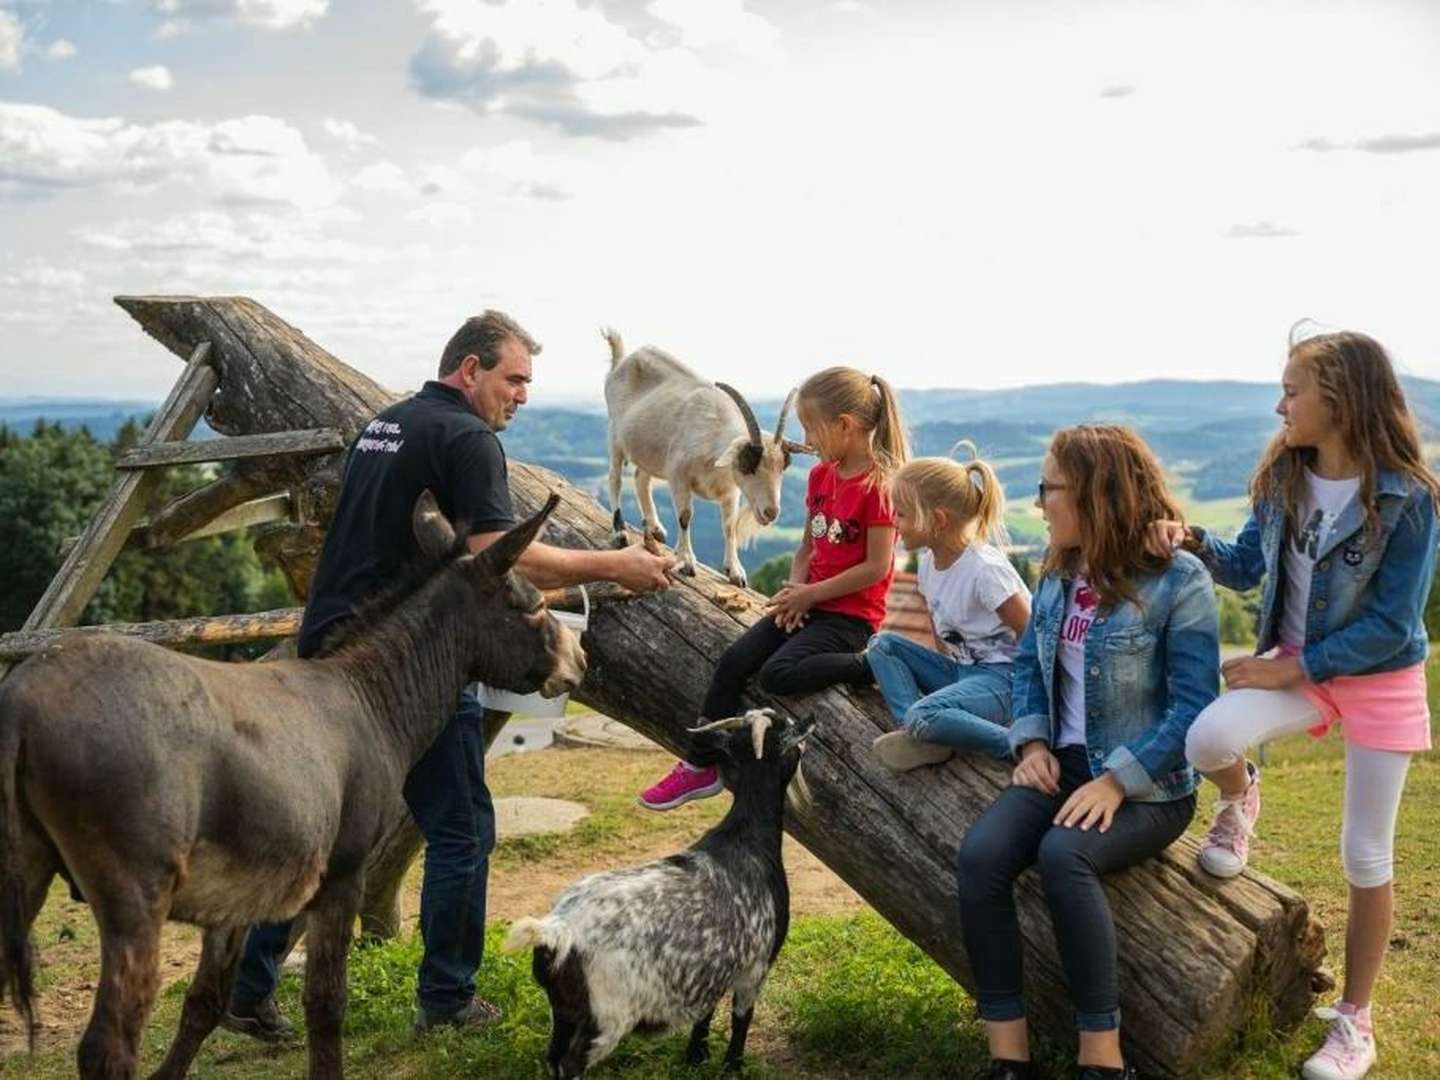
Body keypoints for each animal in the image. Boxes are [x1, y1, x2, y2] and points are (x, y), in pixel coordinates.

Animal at [1, 495, 584, 1077]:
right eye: (532, 605)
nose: (579, 660)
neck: (370, 699)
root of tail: (21, 700)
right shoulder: (342, 877)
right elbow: (326, 1004)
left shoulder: (236, 897)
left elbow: (204, 1002)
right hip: (136, 894)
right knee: (107, 1047)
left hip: (27, 871)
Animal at [509, 711, 823, 1080]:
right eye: (785, 729)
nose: (810, 719)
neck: (747, 837)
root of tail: (557, 931)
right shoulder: (755, 966)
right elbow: (741, 1020)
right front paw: (732, 1067)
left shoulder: (713, 968)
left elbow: (705, 1014)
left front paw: (696, 1056)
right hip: (606, 1016)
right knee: (569, 1063)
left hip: (564, 1010)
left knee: (553, 1055)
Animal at [599, 328, 812, 587]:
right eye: (748, 464)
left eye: (783, 466)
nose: (771, 512)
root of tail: (621, 362)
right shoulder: (678, 476)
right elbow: (685, 516)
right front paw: (687, 561)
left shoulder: (731, 491)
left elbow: (729, 526)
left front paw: (735, 572)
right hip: (615, 434)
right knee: (615, 480)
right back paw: (620, 532)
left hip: (648, 448)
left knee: (641, 478)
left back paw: (655, 528)